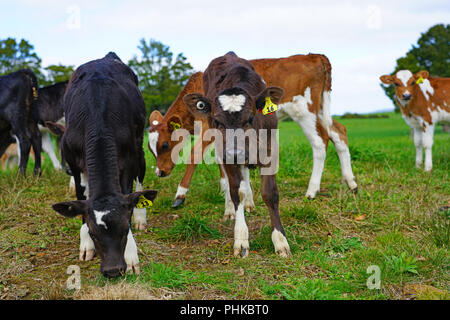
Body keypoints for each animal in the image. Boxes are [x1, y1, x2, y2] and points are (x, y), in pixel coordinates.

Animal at [184, 52, 292, 258]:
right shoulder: (226, 154)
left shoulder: (269, 151)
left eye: (250, 118)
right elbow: (236, 192)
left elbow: (270, 193)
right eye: (217, 121)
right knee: (228, 179)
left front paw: (280, 240)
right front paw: (241, 239)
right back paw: (229, 209)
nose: (235, 153)